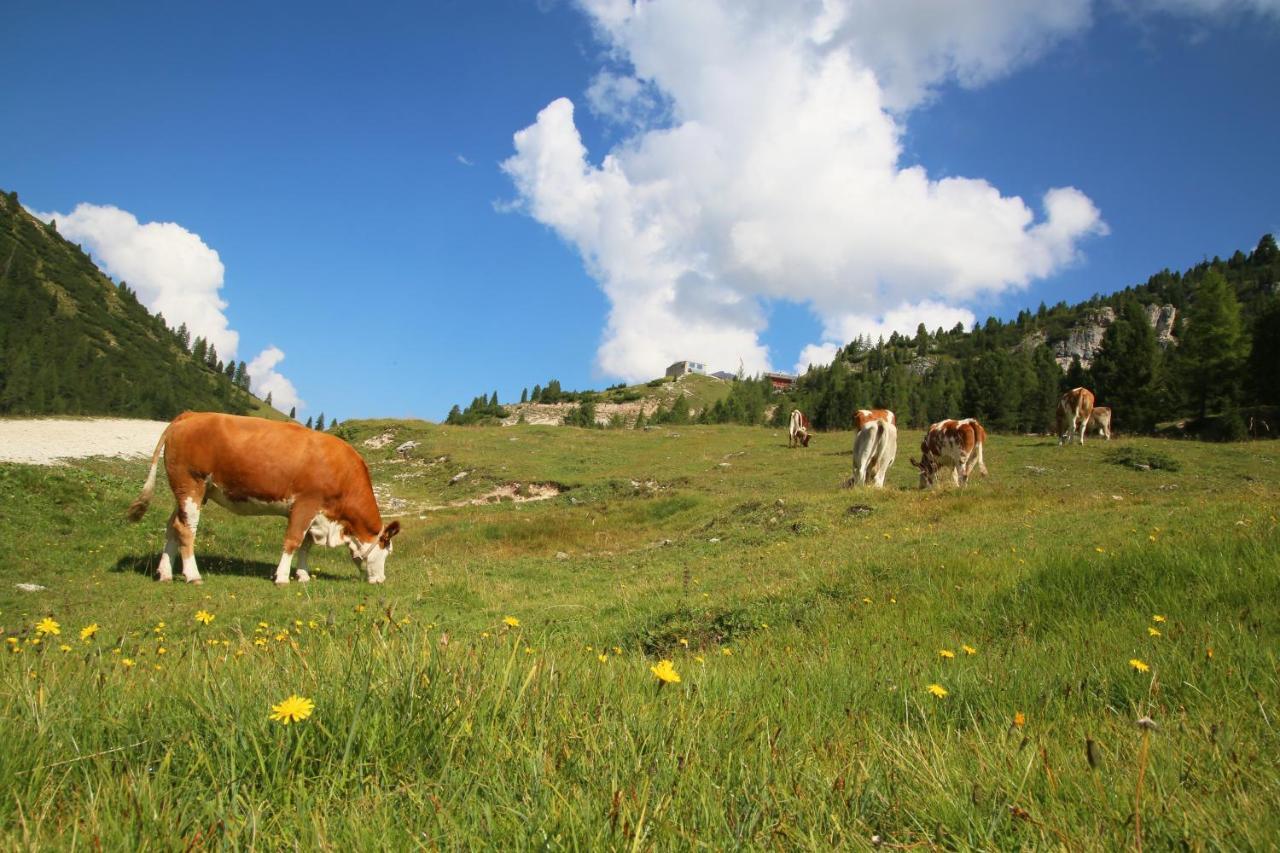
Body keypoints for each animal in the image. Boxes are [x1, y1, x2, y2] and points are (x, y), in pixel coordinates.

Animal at [128, 409, 399, 581]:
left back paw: (165, 573)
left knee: (173, 526)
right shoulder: (306, 503)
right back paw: (193, 575)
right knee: (186, 529)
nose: (381, 580)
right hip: (191, 483)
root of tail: (191, 414)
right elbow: (293, 541)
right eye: (387, 551)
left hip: (189, 491)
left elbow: (306, 546)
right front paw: (282, 577)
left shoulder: (316, 514)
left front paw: (302, 575)